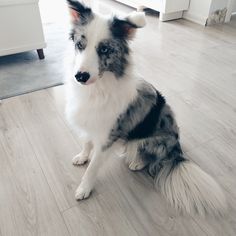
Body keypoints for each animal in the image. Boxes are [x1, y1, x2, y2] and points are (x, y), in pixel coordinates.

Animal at [65, 0, 227, 217]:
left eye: (105, 49)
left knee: (151, 156)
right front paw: (82, 157)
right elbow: (86, 142)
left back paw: (137, 162)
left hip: (151, 141)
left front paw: (84, 189)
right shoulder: (91, 121)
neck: (99, 87)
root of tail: (176, 150)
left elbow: (93, 167)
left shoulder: (107, 136)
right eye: (79, 45)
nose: (80, 76)